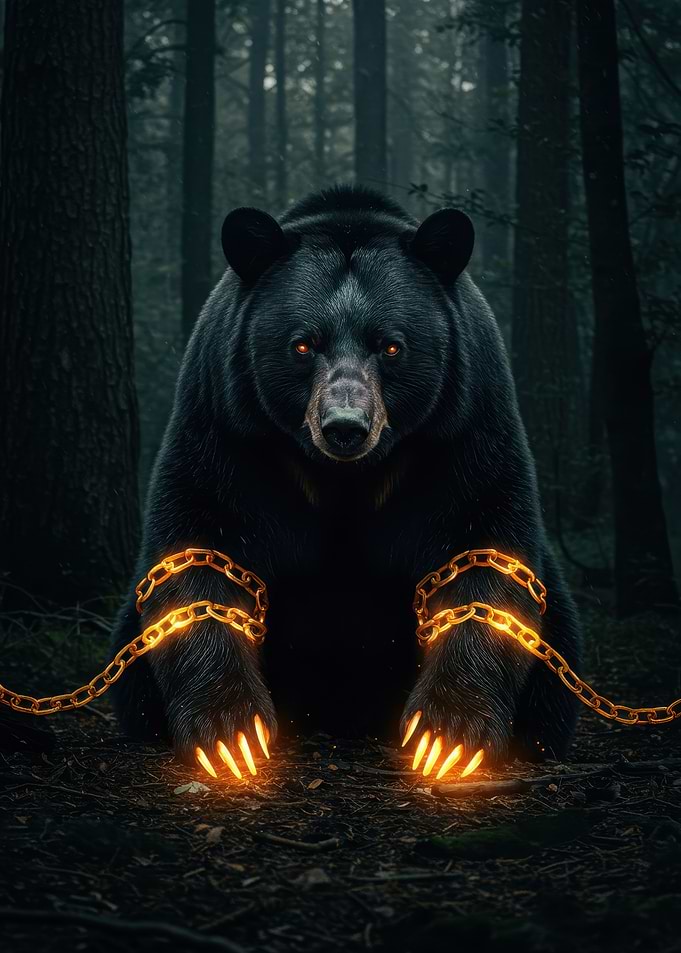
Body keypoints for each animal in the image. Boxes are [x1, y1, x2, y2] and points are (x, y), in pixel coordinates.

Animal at [110, 184, 581, 780]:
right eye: (302, 345)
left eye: (392, 345)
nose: (345, 427)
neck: (345, 478)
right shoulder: (226, 427)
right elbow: (201, 548)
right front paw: (231, 735)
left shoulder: (466, 428)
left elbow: (484, 551)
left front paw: (447, 736)